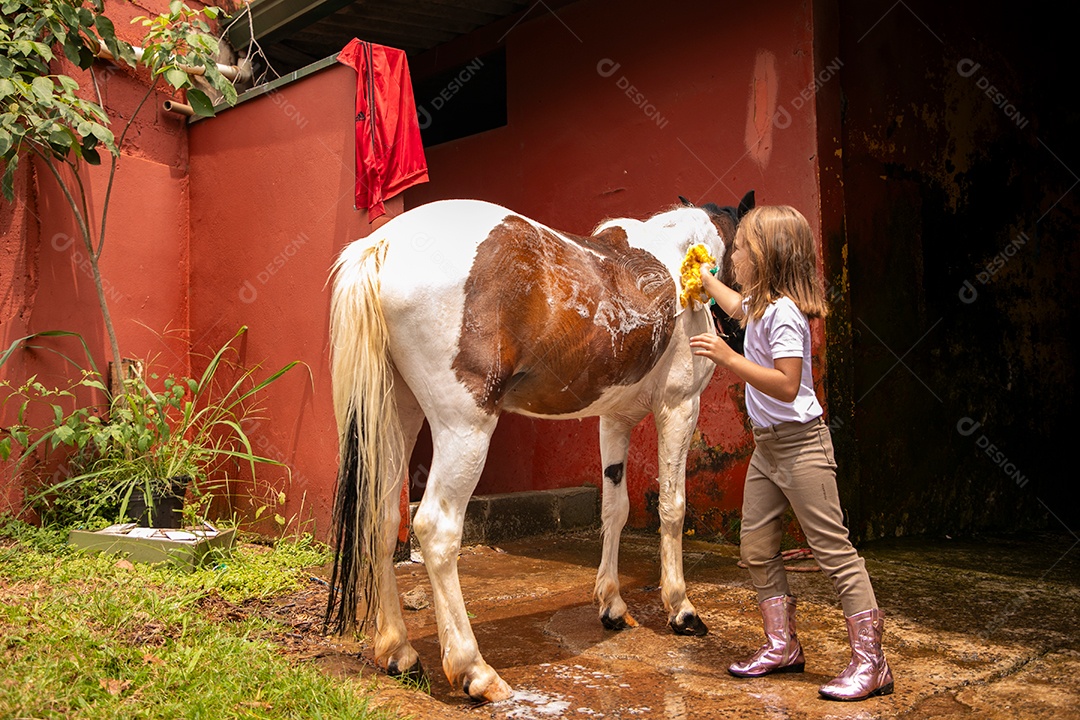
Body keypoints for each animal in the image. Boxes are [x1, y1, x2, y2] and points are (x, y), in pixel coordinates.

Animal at [325, 191, 755, 702]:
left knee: (382, 518)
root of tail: (382, 245)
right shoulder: (679, 406)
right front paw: (681, 610)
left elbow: (616, 508)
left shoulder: (614, 419)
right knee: (436, 530)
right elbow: (672, 507)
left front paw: (612, 605)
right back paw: (475, 671)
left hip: (395, 418)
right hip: (464, 429)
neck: (677, 259)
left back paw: (399, 653)